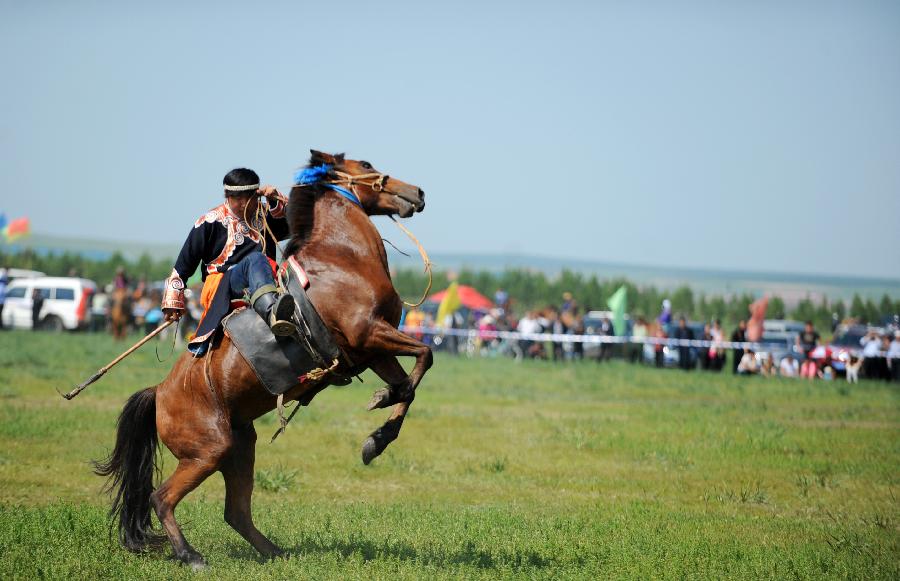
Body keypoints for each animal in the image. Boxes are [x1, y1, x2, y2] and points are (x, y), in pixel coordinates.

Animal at [95, 151, 432, 572]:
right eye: (365, 164)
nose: (416, 192)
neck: (342, 259)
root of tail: (159, 393)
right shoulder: (368, 333)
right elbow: (425, 357)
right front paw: (381, 415)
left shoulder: (370, 350)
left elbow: (408, 384)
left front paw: (377, 436)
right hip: (208, 451)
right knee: (163, 498)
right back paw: (191, 555)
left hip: (241, 447)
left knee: (236, 512)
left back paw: (275, 553)